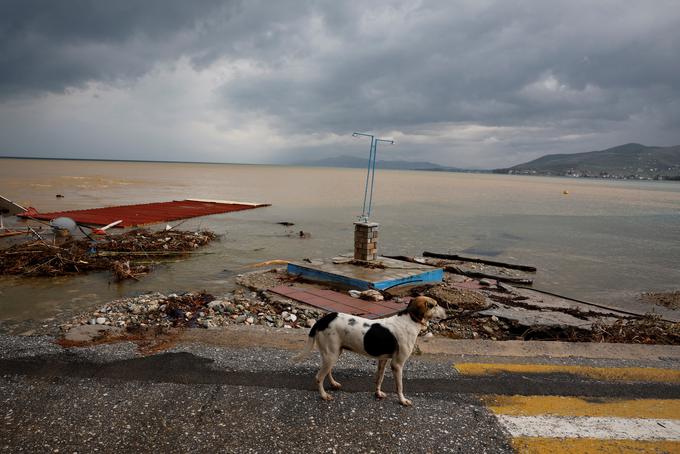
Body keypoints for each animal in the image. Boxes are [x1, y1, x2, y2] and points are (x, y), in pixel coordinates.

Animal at [294, 296, 446, 406]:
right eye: (435, 305)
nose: (447, 312)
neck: (410, 319)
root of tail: (322, 320)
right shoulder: (397, 364)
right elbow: (400, 386)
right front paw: (402, 401)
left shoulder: (383, 360)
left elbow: (379, 378)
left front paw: (378, 394)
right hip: (331, 354)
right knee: (319, 377)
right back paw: (324, 395)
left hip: (333, 353)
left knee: (327, 371)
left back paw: (333, 384)